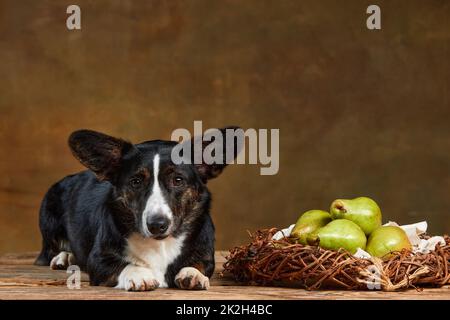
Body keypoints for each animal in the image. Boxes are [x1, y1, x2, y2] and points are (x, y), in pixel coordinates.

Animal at [35, 127, 239, 290]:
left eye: (178, 180)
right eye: (136, 182)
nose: (157, 225)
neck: (159, 244)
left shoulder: (205, 253)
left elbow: (198, 263)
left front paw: (192, 274)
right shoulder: (99, 259)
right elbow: (123, 265)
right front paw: (139, 275)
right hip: (49, 213)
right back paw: (64, 258)